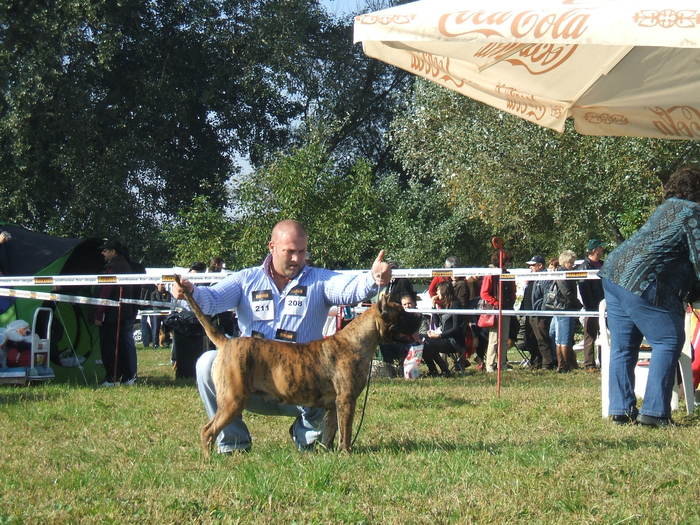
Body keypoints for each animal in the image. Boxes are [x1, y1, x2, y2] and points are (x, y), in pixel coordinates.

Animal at [176, 274, 422, 454]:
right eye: (401, 313)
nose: (420, 317)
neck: (358, 341)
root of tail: (227, 341)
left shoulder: (334, 405)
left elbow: (331, 430)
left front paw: (327, 452)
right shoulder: (346, 400)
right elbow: (346, 430)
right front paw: (346, 452)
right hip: (232, 400)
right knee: (207, 430)